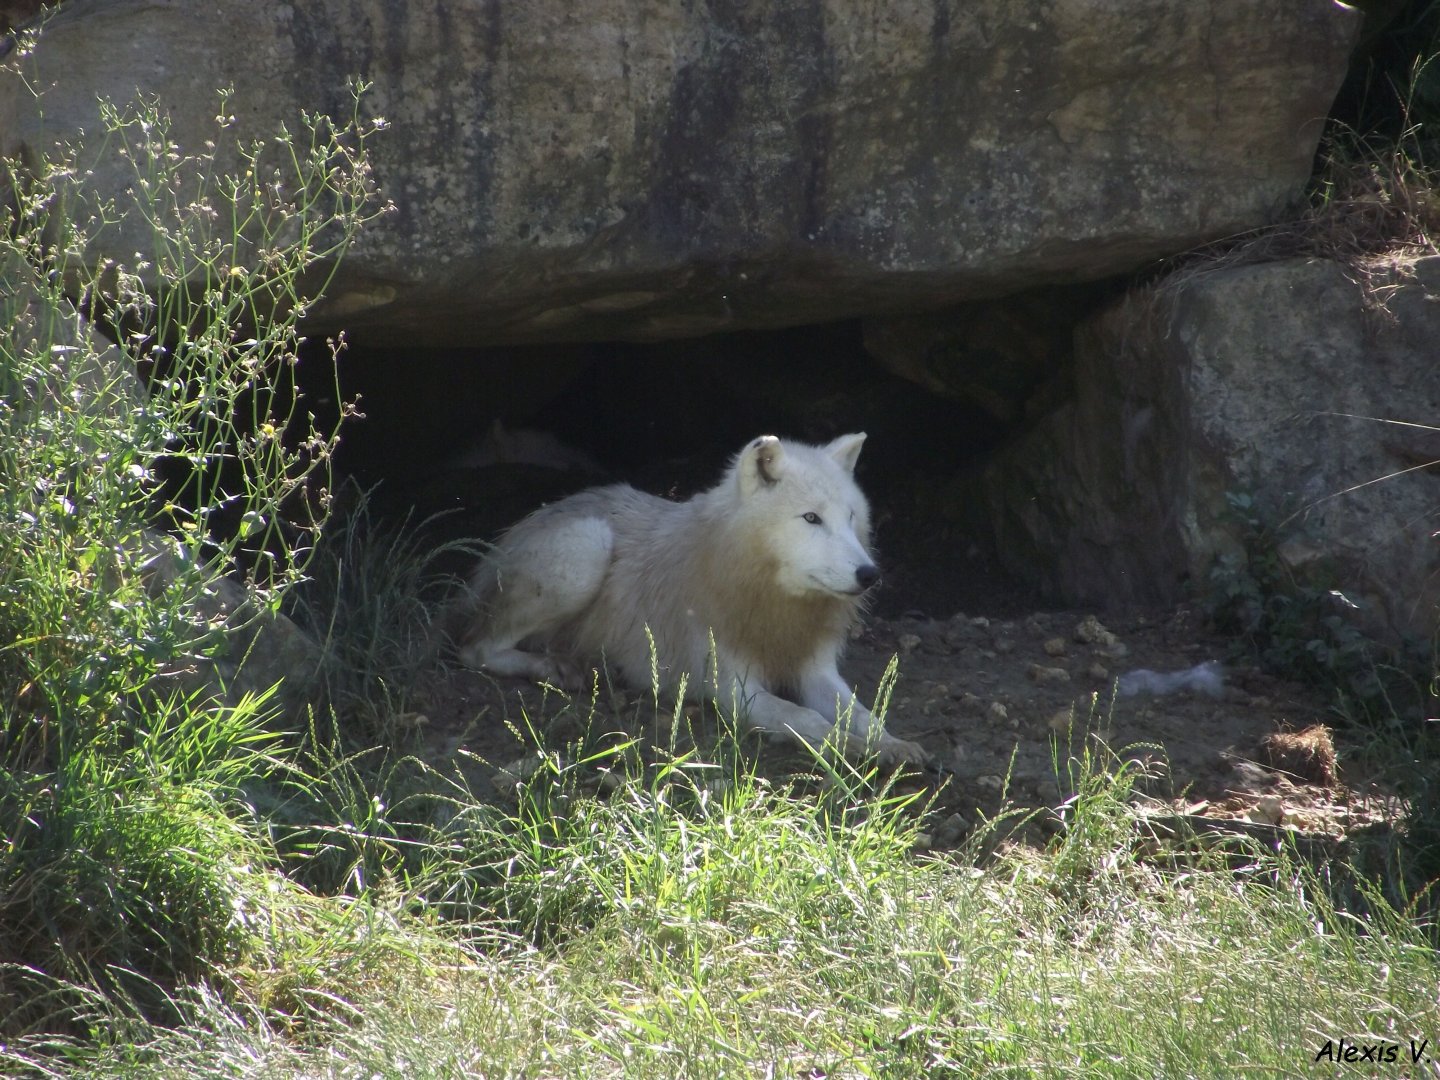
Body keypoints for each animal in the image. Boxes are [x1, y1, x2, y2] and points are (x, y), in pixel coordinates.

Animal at [454, 433, 928, 765]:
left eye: (851, 518)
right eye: (811, 518)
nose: (869, 574)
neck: (771, 601)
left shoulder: (815, 670)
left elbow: (864, 712)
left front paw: (892, 744)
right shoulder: (734, 689)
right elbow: (806, 719)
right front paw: (848, 747)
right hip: (587, 549)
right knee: (475, 648)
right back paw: (552, 668)